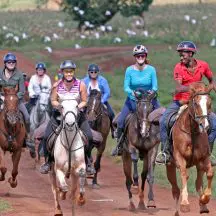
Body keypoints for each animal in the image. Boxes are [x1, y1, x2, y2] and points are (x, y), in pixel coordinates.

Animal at [166, 81, 213, 216]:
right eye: (196, 103)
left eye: (209, 103)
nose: (205, 126)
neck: (192, 132)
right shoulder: (179, 157)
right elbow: (184, 175)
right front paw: (185, 204)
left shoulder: (204, 158)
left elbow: (210, 173)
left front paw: (205, 198)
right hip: (170, 166)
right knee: (175, 189)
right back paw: (177, 209)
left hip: (199, 165)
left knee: (198, 183)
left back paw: (203, 206)